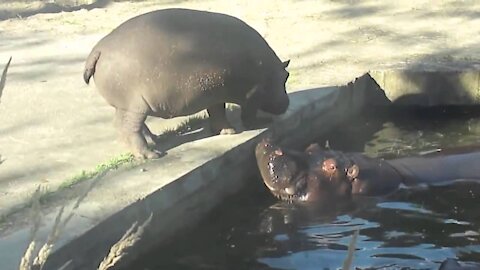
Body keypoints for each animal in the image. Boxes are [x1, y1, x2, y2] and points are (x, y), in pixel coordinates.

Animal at [83, 8, 288, 159]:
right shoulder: (254, 92)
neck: (272, 71)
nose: (287, 103)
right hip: (134, 105)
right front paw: (261, 122)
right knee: (127, 127)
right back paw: (151, 154)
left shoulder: (215, 93)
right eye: (287, 76)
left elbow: (217, 111)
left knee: (134, 126)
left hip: (128, 106)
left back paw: (155, 141)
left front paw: (228, 131)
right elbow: (248, 114)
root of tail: (97, 50)